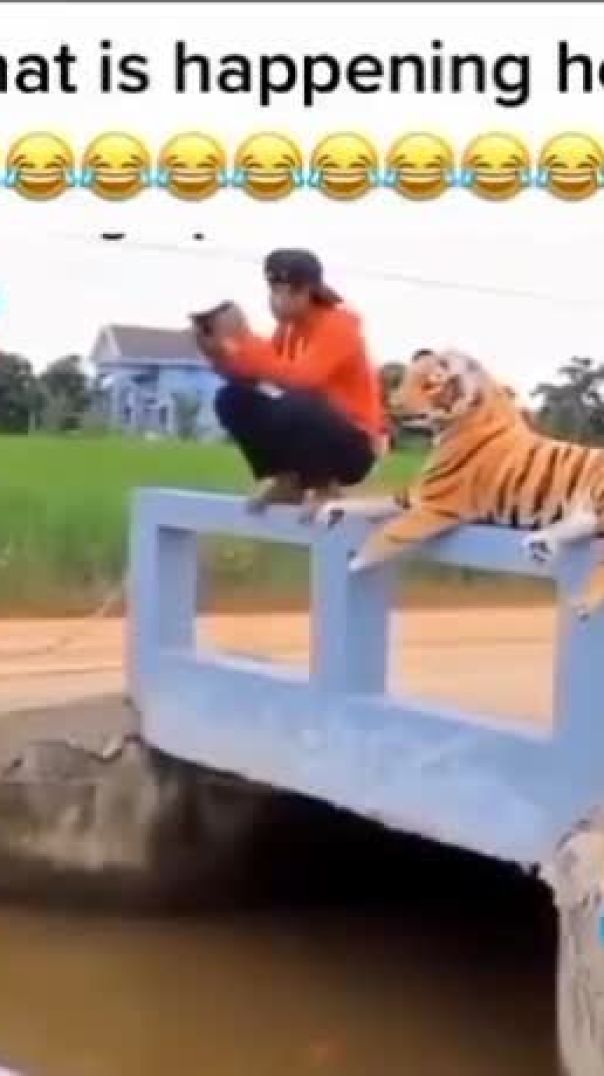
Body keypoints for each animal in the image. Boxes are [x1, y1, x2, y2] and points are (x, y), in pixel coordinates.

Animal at [318, 347, 604, 619]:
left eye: (430, 384)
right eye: (407, 378)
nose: (392, 403)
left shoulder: (437, 506)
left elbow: (390, 533)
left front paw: (354, 563)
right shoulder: (414, 494)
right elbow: (373, 501)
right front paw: (331, 509)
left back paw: (583, 604)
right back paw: (540, 543)